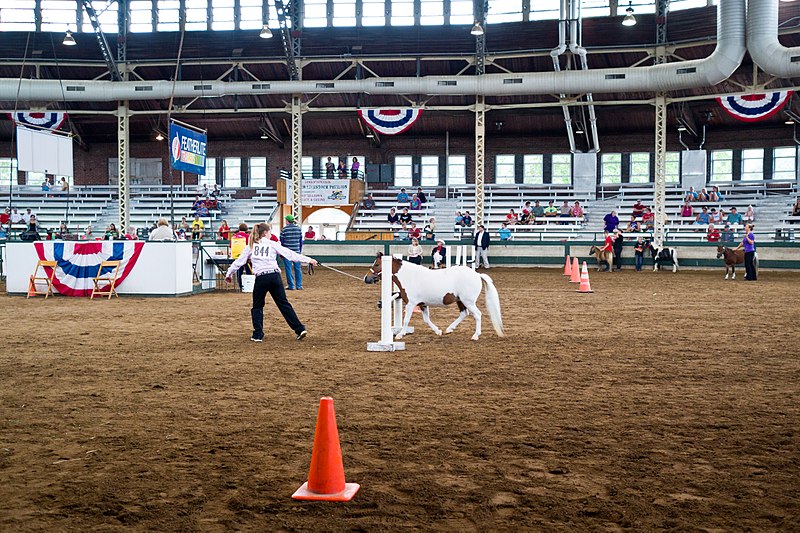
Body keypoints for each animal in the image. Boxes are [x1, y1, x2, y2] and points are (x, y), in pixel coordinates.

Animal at [364, 252, 504, 340]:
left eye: (377, 264)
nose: (366, 278)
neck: (409, 276)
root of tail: (477, 275)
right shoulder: (422, 304)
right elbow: (426, 320)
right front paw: (438, 331)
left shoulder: (410, 304)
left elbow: (406, 320)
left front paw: (400, 334)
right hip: (460, 301)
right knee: (464, 314)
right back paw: (449, 329)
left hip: (468, 301)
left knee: (477, 315)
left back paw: (475, 335)